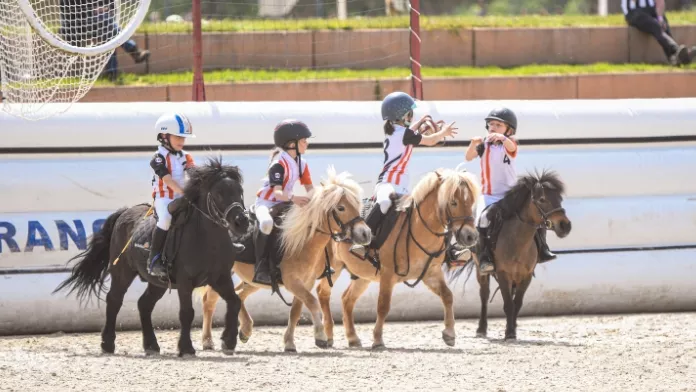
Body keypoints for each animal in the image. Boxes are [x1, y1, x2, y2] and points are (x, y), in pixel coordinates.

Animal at [54, 155, 250, 356]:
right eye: (219, 193)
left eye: (240, 191)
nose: (242, 222)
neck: (207, 239)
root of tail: (124, 213)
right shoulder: (185, 281)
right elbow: (186, 312)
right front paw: (186, 347)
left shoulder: (221, 277)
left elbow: (234, 301)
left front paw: (229, 341)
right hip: (122, 272)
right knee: (114, 300)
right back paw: (107, 344)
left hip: (158, 282)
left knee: (144, 304)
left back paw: (151, 345)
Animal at [196, 165, 372, 352]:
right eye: (341, 208)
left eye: (356, 204)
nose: (365, 233)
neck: (302, 241)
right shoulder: (292, 281)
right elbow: (312, 302)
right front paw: (320, 336)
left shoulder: (306, 282)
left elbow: (296, 310)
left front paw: (289, 342)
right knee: (210, 300)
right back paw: (208, 341)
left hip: (252, 281)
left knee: (238, 295)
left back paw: (244, 330)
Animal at [316, 167, 484, 348]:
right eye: (453, 202)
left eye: (471, 202)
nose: (471, 237)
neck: (418, 229)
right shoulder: (388, 274)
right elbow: (383, 305)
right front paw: (378, 339)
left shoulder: (431, 273)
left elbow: (447, 296)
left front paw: (449, 333)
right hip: (334, 266)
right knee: (322, 292)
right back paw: (328, 336)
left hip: (363, 276)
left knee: (347, 299)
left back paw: (353, 338)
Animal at [448, 171, 572, 340]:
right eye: (542, 199)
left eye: (559, 199)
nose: (565, 226)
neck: (517, 240)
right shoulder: (503, 274)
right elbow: (508, 304)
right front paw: (509, 332)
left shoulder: (526, 275)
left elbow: (517, 303)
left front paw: (512, 328)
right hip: (481, 272)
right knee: (484, 296)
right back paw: (481, 329)